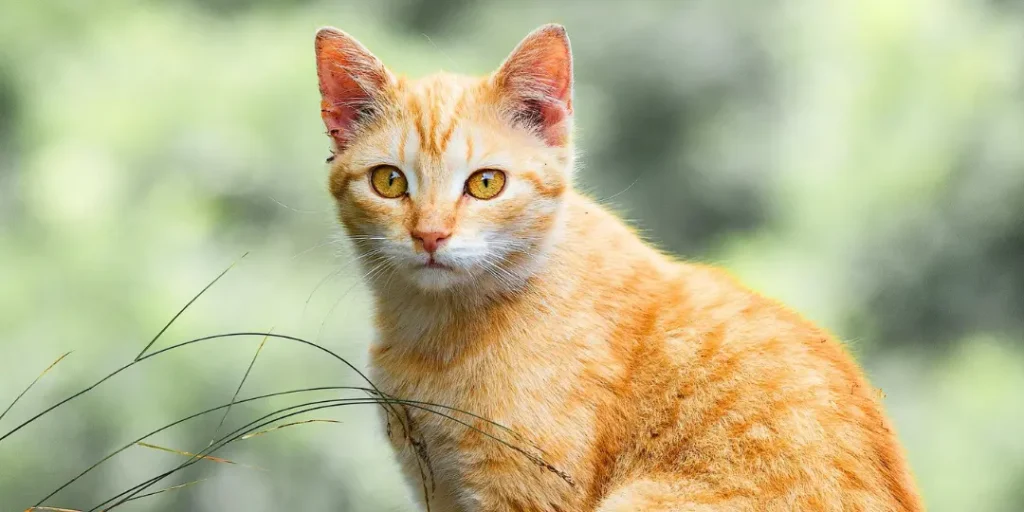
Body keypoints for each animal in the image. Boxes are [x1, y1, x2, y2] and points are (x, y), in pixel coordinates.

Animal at [311, 23, 921, 512]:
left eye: (486, 183)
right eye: (390, 181)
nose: (430, 235)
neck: (436, 333)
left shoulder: (521, 494)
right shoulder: (438, 488)